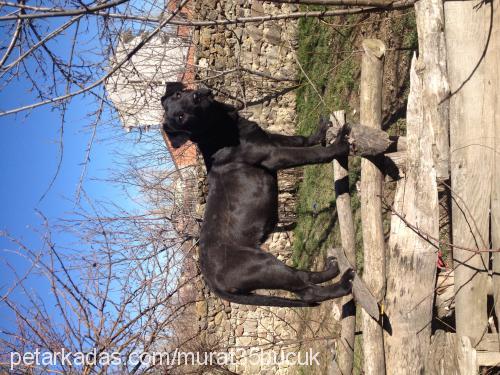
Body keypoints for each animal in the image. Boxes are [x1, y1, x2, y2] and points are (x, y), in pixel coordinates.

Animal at [162, 81, 354, 306]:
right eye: (180, 117)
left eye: (178, 95)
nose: (195, 97)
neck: (222, 129)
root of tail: (211, 282)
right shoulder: (273, 155)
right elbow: (313, 154)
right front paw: (339, 145)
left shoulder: (272, 139)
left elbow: (299, 139)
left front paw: (320, 132)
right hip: (263, 265)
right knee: (307, 290)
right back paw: (343, 283)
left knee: (303, 277)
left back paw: (331, 270)